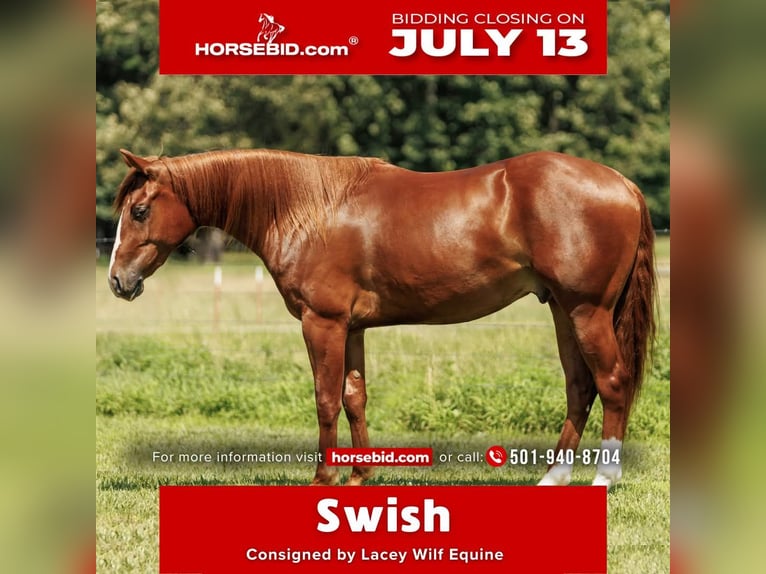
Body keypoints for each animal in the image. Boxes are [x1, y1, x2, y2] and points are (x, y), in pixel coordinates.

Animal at [108, 148, 656, 488]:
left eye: (139, 211)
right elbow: (355, 398)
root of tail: (624, 185)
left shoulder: (322, 323)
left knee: (611, 382)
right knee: (579, 388)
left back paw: (604, 478)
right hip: (563, 310)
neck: (308, 208)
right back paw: (553, 477)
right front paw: (359, 476)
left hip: (587, 311)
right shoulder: (351, 329)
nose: (118, 282)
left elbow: (326, 400)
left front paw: (323, 478)